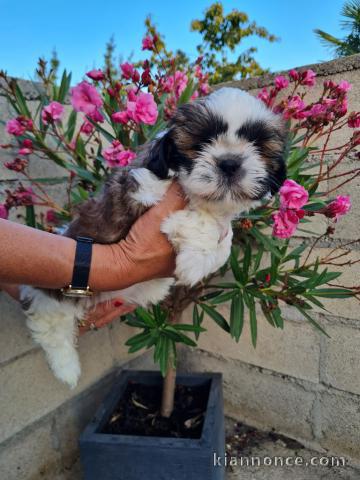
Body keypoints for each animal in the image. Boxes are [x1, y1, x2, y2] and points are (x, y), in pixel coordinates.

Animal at [20, 87, 286, 386]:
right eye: (201, 142)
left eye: (258, 145)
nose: (229, 162)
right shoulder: (143, 194)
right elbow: (202, 219)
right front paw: (196, 257)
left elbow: (223, 238)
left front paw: (211, 252)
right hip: (53, 298)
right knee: (48, 326)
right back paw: (66, 367)